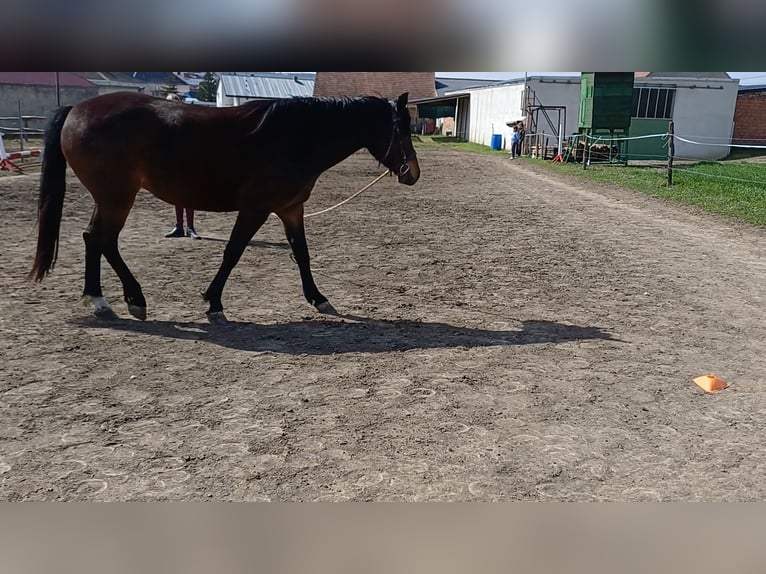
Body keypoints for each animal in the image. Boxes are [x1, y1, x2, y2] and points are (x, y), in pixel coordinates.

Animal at [28, 91, 420, 323]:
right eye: (401, 128)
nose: (412, 173)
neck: (296, 137)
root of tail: (77, 110)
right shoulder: (256, 208)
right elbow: (233, 252)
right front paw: (213, 303)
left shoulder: (291, 209)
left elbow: (302, 254)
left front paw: (319, 299)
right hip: (117, 197)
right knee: (103, 240)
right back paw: (128, 299)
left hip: (110, 197)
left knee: (93, 239)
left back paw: (100, 299)